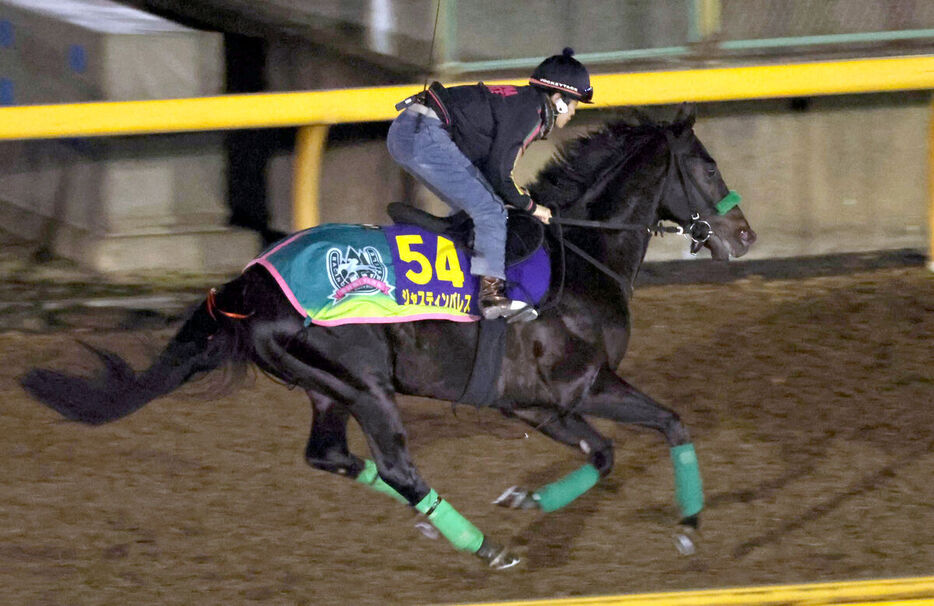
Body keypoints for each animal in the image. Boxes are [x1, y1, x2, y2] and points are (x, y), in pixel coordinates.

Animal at [18, 103, 756, 568]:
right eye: (708, 166)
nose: (744, 234)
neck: (578, 252)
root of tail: (248, 284)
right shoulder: (583, 385)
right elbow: (662, 426)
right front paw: (689, 527)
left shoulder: (535, 404)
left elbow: (604, 452)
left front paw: (532, 497)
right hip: (366, 384)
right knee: (397, 465)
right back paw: (481, 545)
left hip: (326, 387)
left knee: (331, 457)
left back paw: (437, 522)